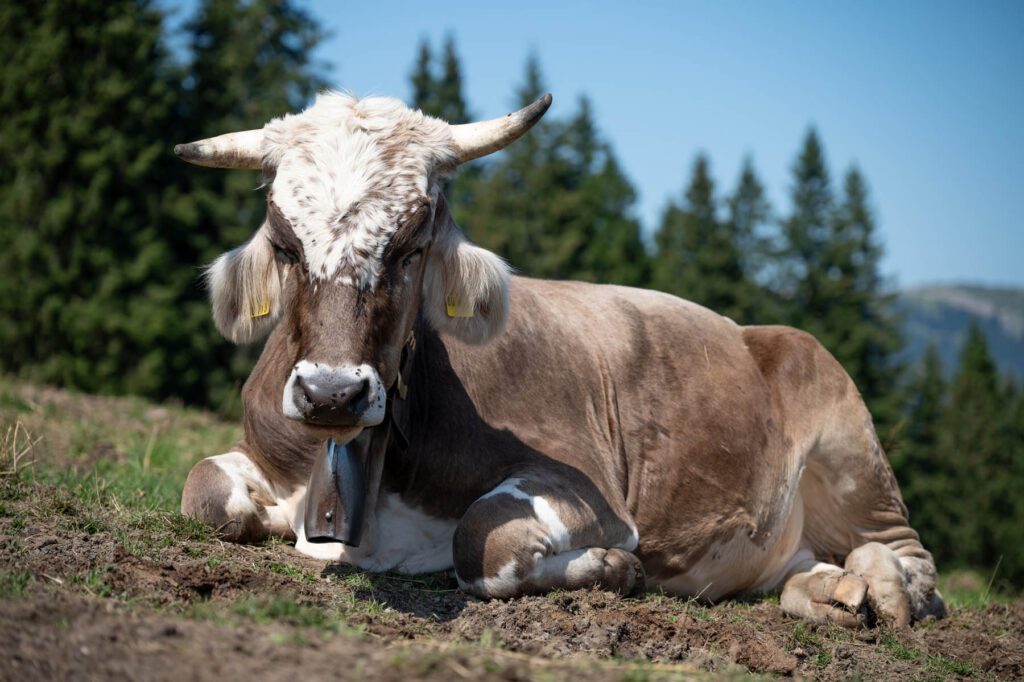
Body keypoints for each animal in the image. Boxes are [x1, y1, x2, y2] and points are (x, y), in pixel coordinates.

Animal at [174, 91, 945, 627]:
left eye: (412, 244)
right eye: (283, 243)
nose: (332, 393)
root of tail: (765, 331)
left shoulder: (589, 487)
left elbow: (481, 545)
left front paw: (614, 567)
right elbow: (203, 492)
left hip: (850, 441)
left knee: (913, 557)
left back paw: (887, 587)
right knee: (803, 567)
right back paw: (829, 591)